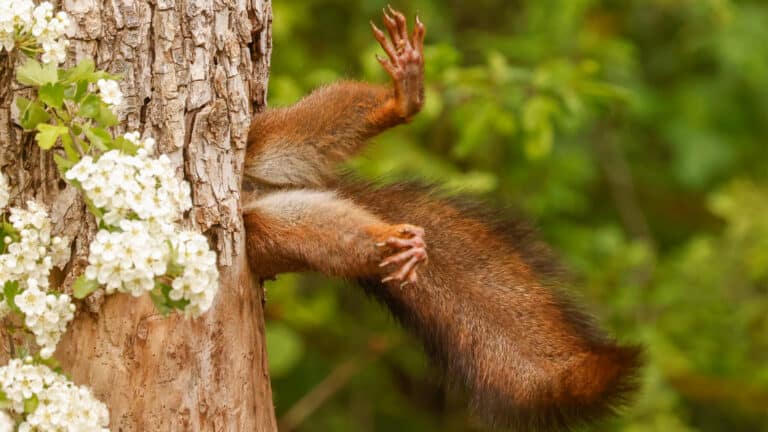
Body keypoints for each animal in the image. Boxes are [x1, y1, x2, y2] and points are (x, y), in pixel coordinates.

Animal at [244, 7, 640, 432]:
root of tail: (256, 192)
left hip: (264, 138)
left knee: (314, 124)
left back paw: (403, 98)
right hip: (267, 232)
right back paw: (394, 244)